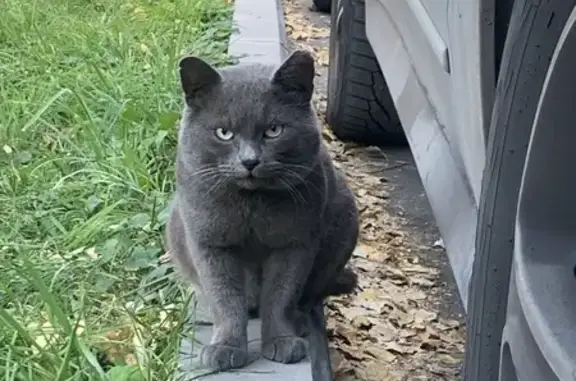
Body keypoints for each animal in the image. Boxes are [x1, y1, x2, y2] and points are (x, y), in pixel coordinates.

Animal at [164, 50, 358, 372]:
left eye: (273, 130)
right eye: (224, 132)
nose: (250, 161)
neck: (251, 206)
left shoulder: (294, 243)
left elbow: (281, 295)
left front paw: (282, 341)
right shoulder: (209, 242)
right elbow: (225, 297)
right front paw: (226, 347)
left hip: (345, 217)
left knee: (309, 293)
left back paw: (300, 321)